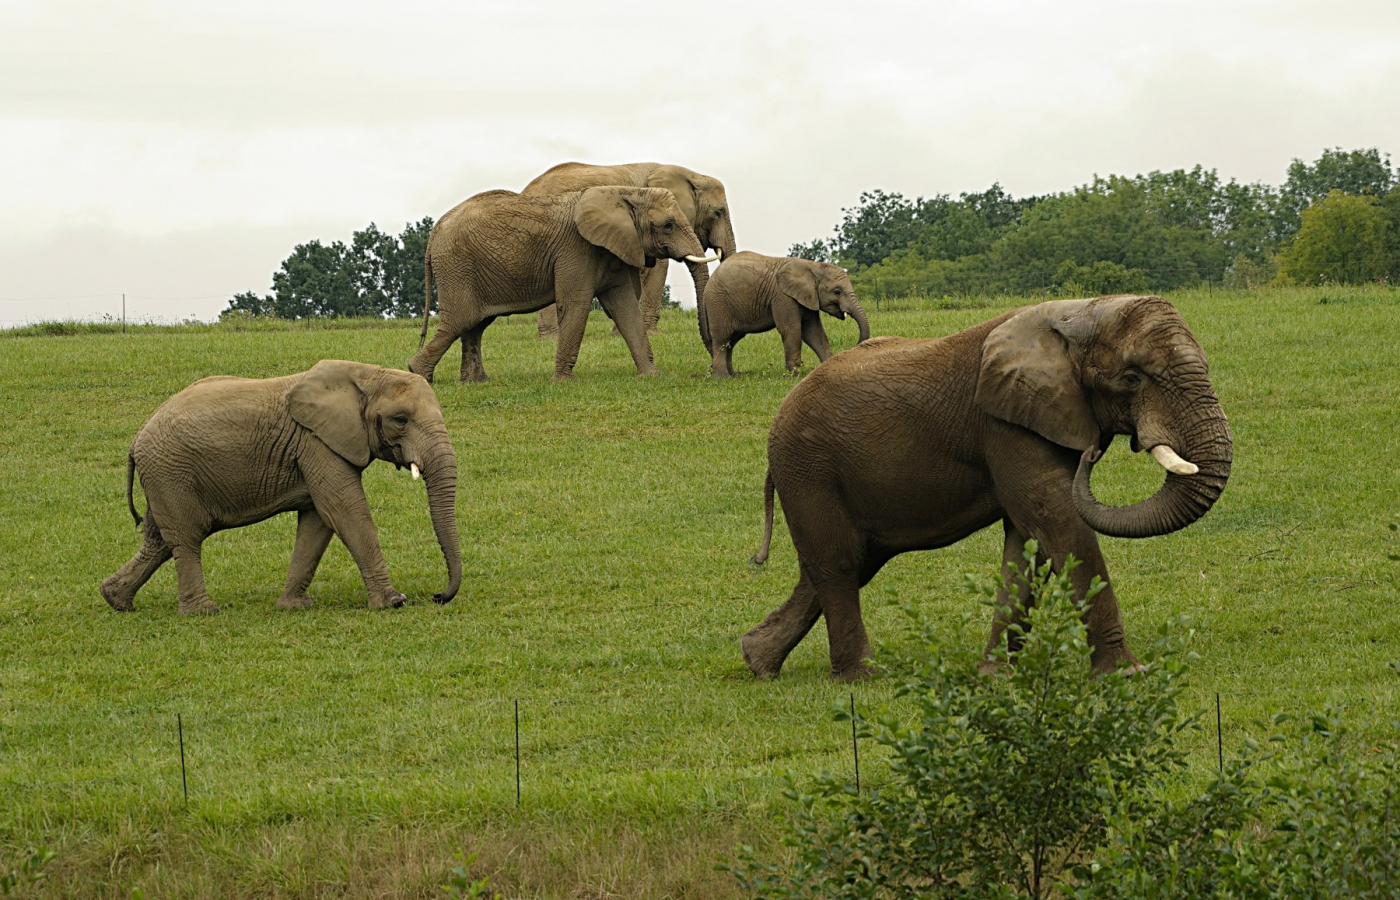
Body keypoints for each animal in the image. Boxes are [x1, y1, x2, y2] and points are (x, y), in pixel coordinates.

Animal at [105, 363, 464, 615]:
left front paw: (294, 606)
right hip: (171, 472)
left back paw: (115, 600)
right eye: (401, 419)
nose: (437, 596)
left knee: (159, 541)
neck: (365, 374)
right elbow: (344, 510)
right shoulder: (317, 443)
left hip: (164, 476)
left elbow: (318, 521)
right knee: (187, 537)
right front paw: (393, 602)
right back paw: (203, 612)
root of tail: (136, 440)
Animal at [403, 186, 711, 383]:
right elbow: (576, 304)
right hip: (457, 265)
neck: (625, 192)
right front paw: (564, 381)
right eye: (668, 225)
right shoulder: (576, 249)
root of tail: (434, 231)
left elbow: (625, 308)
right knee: (460, 320)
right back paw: (417, 374)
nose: (710, 368)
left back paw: (476, 382)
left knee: (475, 325)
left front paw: (651, 376)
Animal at [526, 160, 744, 334]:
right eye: (718, 213)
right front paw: (652, 334)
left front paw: (618, 333)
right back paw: (551, 337)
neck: (691, 175)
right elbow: (658, 269)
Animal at [705, 251, 868, 377]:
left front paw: (830, 367)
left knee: (731, 341)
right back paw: (723, 377)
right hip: (718, 302)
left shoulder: (807, 298)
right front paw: (792, 376)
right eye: (837, 291)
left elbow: (814, 332)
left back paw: (733, 375)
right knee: (722, 338)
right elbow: (791, 330)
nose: (855, 345)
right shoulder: (783, 297)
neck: (813, 266)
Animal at [739, 298, 1232, 683]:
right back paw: (861, 677)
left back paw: (758, 661)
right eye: (1131, 378)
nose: (1091, 455)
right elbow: (1058, 521)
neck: (1079, 313)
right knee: (839, 564)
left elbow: (1028, 545)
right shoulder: (1004, 424)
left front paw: (995, 675)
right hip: (809, 468)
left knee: (844, 563)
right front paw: (1128, 675)